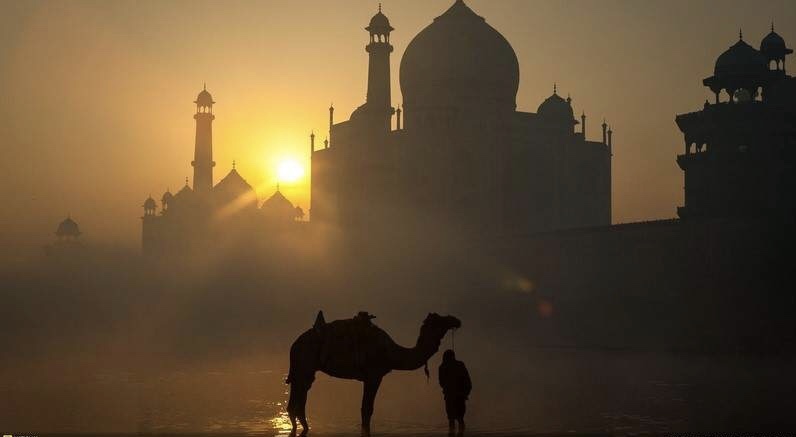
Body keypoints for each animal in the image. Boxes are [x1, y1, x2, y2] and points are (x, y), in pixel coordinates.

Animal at [284, 310, 460, 432]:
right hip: (304, 365)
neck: (391, 353)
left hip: (303, 370)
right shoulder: (374, 375)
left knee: (298, 400)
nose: (456, 320)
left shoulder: (372, 376)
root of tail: (294, 345)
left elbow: (366, 409)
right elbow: (367, 409)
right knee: (297, 400)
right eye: (439, 320)